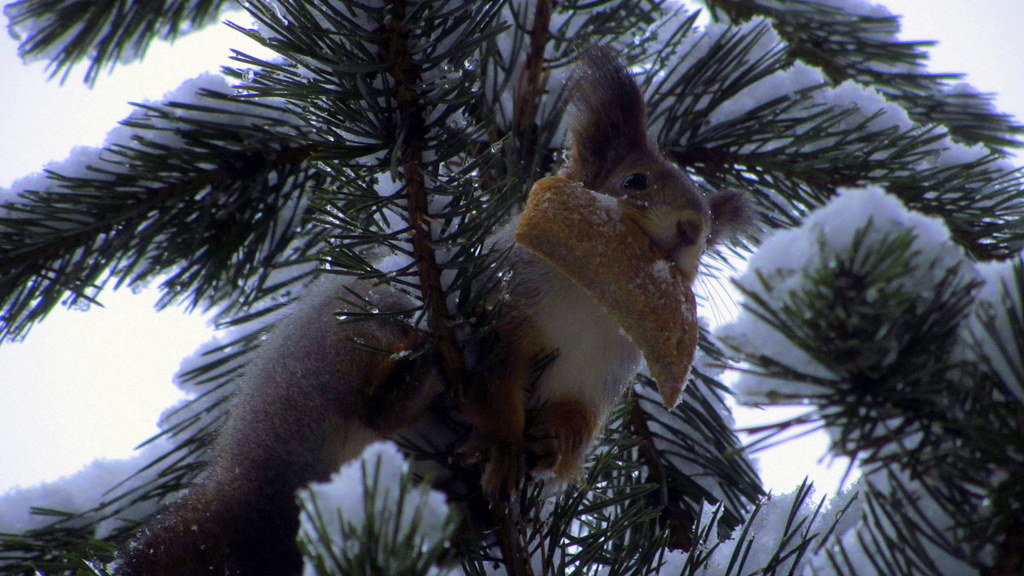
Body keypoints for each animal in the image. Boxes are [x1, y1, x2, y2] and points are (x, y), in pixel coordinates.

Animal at [117, 48, 753, 573]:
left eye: (706, 226)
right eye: (635, 180)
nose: (692, 231)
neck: (592, 300)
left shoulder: (599, 374)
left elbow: (576, 420)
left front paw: (547, 445)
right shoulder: (502, 311)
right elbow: (496, 382)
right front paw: (505, 442)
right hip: (346, 342)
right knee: (373, 403)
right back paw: (416, 379)